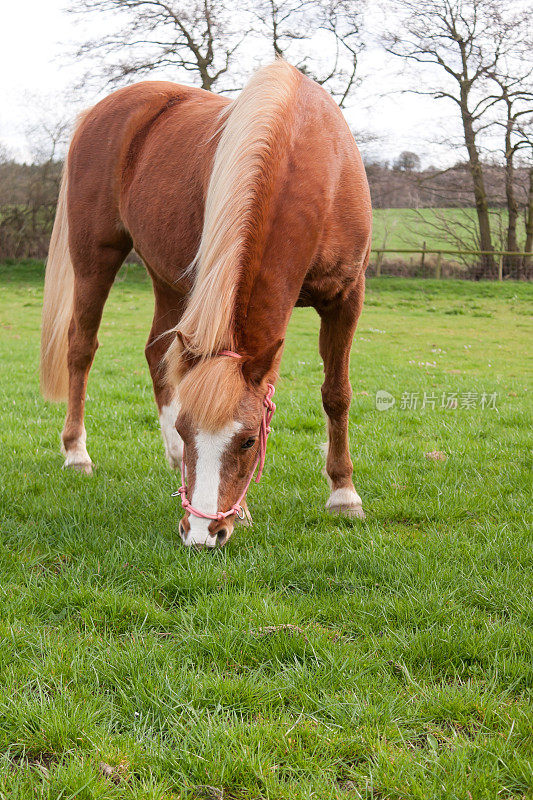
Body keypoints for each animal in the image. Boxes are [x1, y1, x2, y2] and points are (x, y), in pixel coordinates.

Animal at [40, 59, 370, 552]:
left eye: (249, 441)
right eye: (188, 429)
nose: (200, 534)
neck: (312, 157)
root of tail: (98, 112)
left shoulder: (347, 298)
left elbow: (337, 394)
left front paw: (344, 495)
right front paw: (246, 509)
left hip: (169, 281)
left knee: (157, 354)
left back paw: (173, 462)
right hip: (95, 258)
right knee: (81, 347)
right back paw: (77, 452)